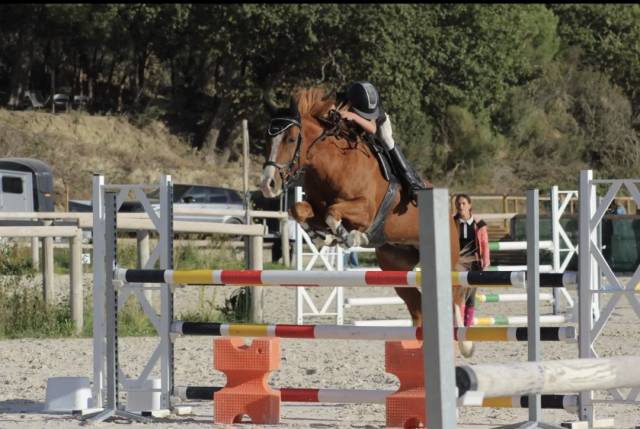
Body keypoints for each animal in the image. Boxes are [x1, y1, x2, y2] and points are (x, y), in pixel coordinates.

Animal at [260, 87, 473, 356]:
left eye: (290, 139)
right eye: (267, 141)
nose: (268, 185)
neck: (333, 163)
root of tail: (450, 215)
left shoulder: (365, 210)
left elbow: (334, 212)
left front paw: (351, 237)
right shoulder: (314, 206)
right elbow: (299, 209)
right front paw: (324, 236)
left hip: (447, 261)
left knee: (455, 298)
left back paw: (465, 344)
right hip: (395, 267)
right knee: (416, 304)